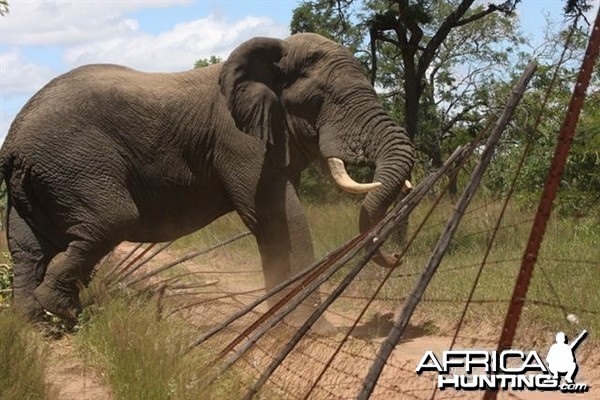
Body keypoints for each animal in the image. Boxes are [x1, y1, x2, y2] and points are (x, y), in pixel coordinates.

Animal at [0, 30, 412, 332]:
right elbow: (281, 218)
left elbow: (277, 220)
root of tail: (13, 139)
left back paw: (35, 321)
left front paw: (282, 323)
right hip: (73, 161)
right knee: (111, 221)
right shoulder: (237, 140)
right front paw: (308, 329)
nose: (395, 257)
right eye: (321, 98)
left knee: (29, 245)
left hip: (40, 178)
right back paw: (62, 312)